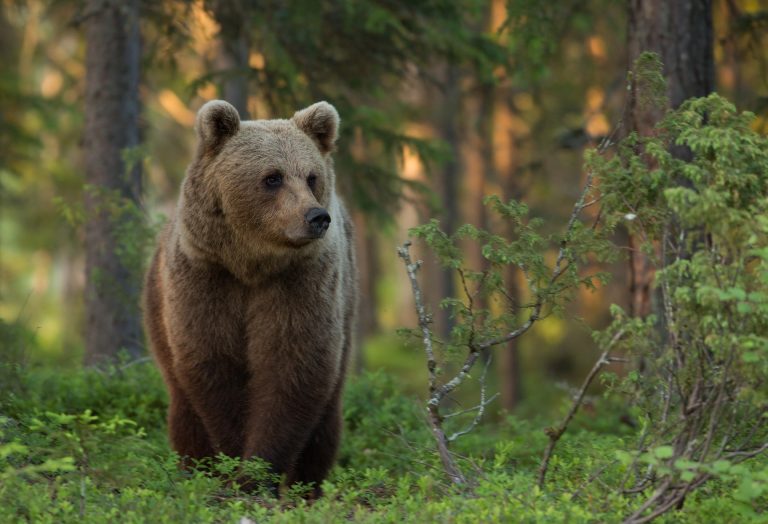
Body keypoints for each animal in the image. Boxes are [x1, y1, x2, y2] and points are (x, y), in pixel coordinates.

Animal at [142, 100, 356, 498]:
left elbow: (292, 367)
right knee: (184, 411)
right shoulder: (205, 278)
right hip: (156, 311)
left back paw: (308, 488)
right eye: (272, 177)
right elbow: (214, 364)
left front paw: (258, 473)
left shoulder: (299, 283)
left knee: (326, 418)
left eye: (311, 177)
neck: (251, 266)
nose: (316, 217)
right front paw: (234, 462)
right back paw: (196, 470)